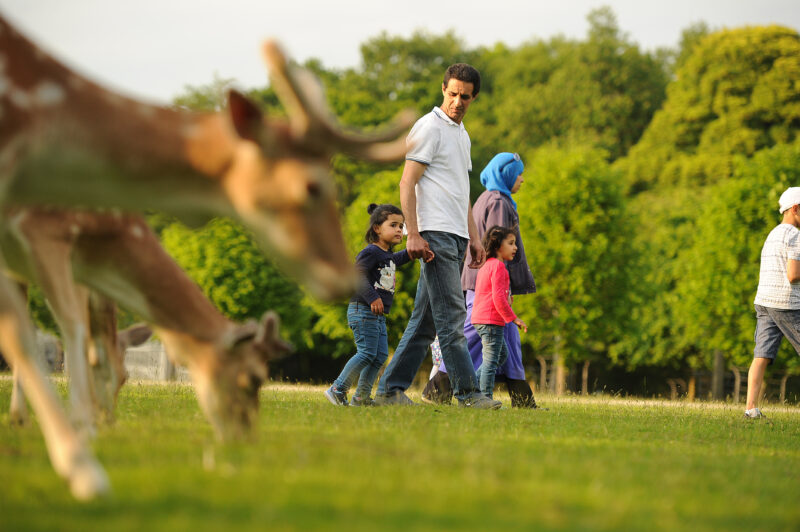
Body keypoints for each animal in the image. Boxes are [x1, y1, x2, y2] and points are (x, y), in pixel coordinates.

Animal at [0, 13, 412, 502]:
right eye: (251, 378)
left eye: (126, 380)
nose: (245, 438)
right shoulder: (44, 235)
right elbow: (63, 332)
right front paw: (83, 457)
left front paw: (81, 436)